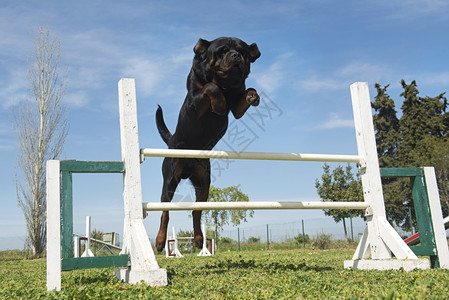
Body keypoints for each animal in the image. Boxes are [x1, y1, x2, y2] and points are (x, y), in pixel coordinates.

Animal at [154, 37, 260, 252]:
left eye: (243, 53)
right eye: (222, 51)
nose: (235, 56)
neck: (226, 85)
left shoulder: (237, 108)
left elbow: (247, 90)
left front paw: (253, 95)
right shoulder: (196, 102)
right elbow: (210, 88)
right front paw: (218, 104)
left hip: (203, 183)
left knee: (197, 212)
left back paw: (198, 239)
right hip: (170, 179)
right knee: (164, 213)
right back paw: (160, 241)